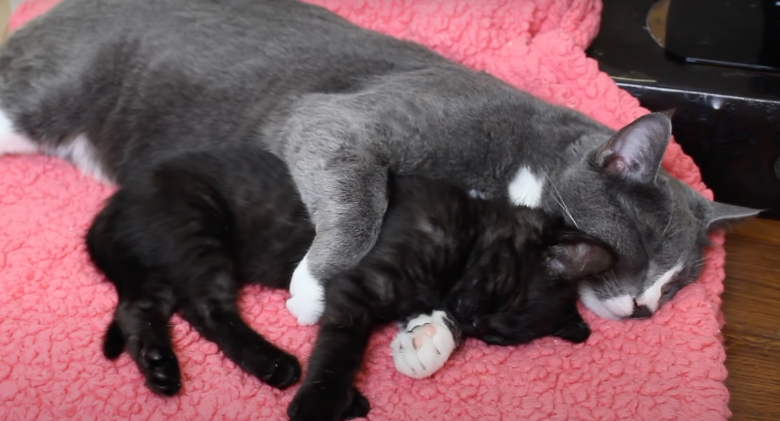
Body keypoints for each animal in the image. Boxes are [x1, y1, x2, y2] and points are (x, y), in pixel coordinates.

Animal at [0, 0, 756, 378]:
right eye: (645, 246)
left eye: (681, 285)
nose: (647, 310)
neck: (525, 163)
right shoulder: (340, 121)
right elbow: (359, 195)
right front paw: (313, 287)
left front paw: (428, 339)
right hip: (44, 95)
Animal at [87, 144, 616, 416]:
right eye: (502, 290)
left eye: (495, 336)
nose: (467, 318)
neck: (465, 232)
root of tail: (113, 208)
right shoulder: (356, 286)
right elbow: (339, 350)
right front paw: (320, 404)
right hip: (198, 228)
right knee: (205, 308)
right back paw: (276, 366)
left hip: (162, 264)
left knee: (139, 307)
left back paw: (161, 368)